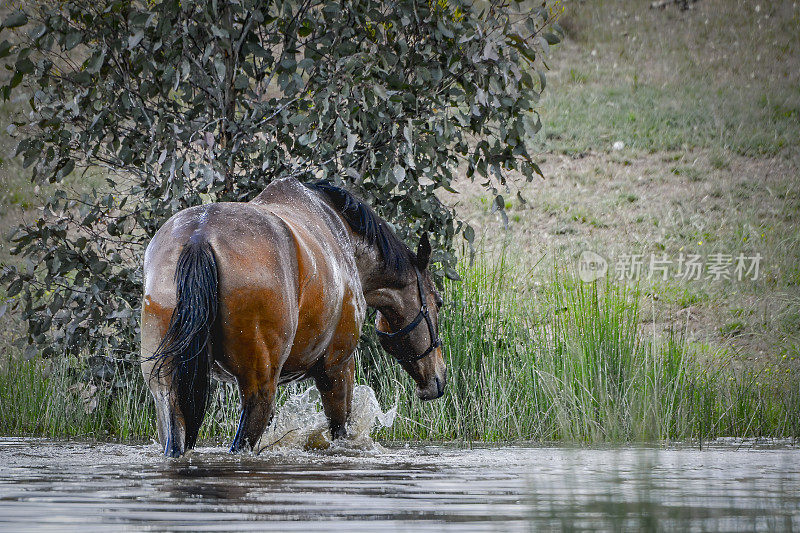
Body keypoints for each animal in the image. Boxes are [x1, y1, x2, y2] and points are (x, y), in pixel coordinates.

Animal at [141, 177, 446, 456]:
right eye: (439, 302)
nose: (439, 378)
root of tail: (199, 237)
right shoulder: (337, 368)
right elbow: (341, 432)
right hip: (259, 389)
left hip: (167, 391)